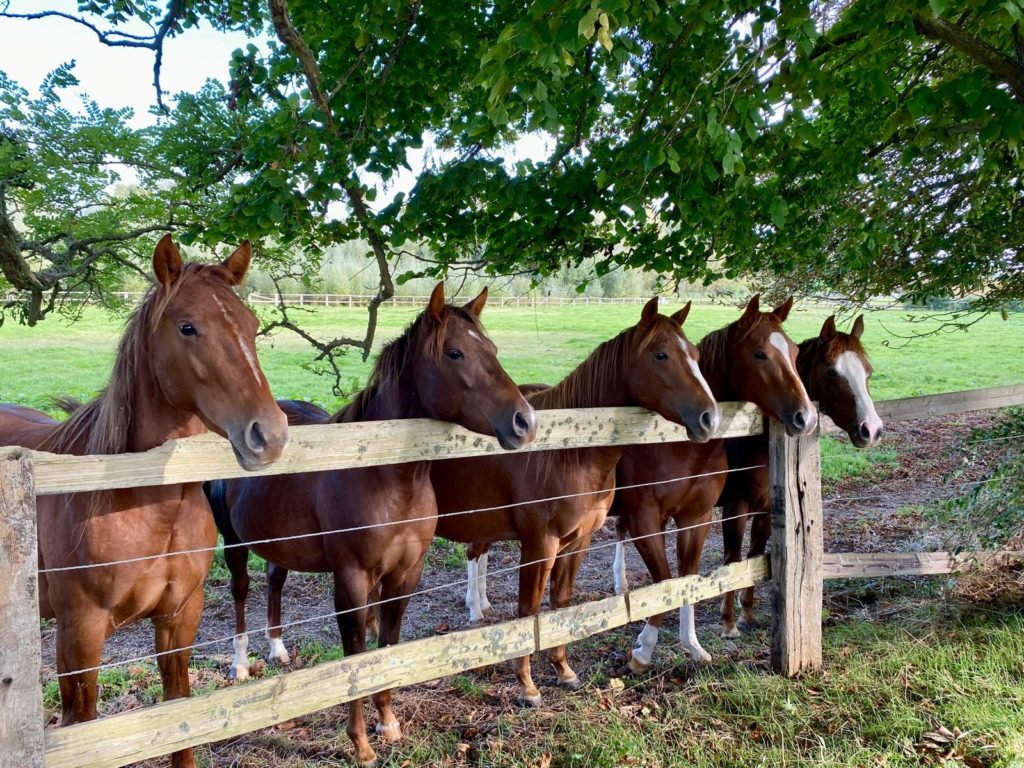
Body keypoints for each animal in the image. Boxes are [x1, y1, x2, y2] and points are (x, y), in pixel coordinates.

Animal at [0, 235, 289, 768]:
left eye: (252, 325)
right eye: (187, 326)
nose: (270, 435)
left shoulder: (179, 620)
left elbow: (178, 716)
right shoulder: (80, 635)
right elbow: (81, 724)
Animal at [206, 283, 537, 768]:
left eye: (492, 349)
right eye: (455, 353)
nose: (526, 422)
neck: (386, 477)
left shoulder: (404, 575)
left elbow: (388, 644)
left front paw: (389, 722)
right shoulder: (353, 579)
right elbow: (357, 655)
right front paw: (361, 743)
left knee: (275, 580)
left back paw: (279, 649)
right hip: (233, 543)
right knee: (241, 591)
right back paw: (242, 663)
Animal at [429, 298, 720, 707]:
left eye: (694, 354)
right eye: (661, 354)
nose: (710, 418)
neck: (568, 451)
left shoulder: (578, 540)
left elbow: (560, 603)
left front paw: (563, 670)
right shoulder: (541, 544)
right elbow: (530, 609)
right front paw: (527, 685)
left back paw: (479, 606)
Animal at [610, 294, 817, 671]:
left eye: (795, 352)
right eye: (760, 354)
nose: (805, 417)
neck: (680, 448)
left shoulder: (705, 516)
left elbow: (697, 574)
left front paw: (701, 639)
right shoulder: (656, 517)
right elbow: (674, 576)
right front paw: (645, 650)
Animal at [718, 313, 883, 638]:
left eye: (868, 371)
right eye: (832, 371)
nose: (871, 430)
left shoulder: (765, 508)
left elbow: (755, 555)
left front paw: (748, 613)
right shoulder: (735, 508)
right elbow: (733, 561)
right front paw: (729, 623)